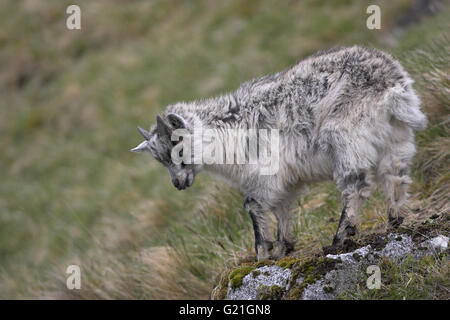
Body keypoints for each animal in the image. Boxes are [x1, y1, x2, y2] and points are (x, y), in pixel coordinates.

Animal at [132, 46, 428, 262]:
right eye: (160, 160)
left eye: (179, 147)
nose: (178, 183)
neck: (232, 128)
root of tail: (391, 85)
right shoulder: (286, 179)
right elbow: (281, 207)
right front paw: (284, 247)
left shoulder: (264, 174)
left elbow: (254, 206)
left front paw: (263, 253)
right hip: (395, 136)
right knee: (395, 173)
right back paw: (395, 219)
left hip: (346, 136)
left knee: (355, 184)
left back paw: (340, 237)